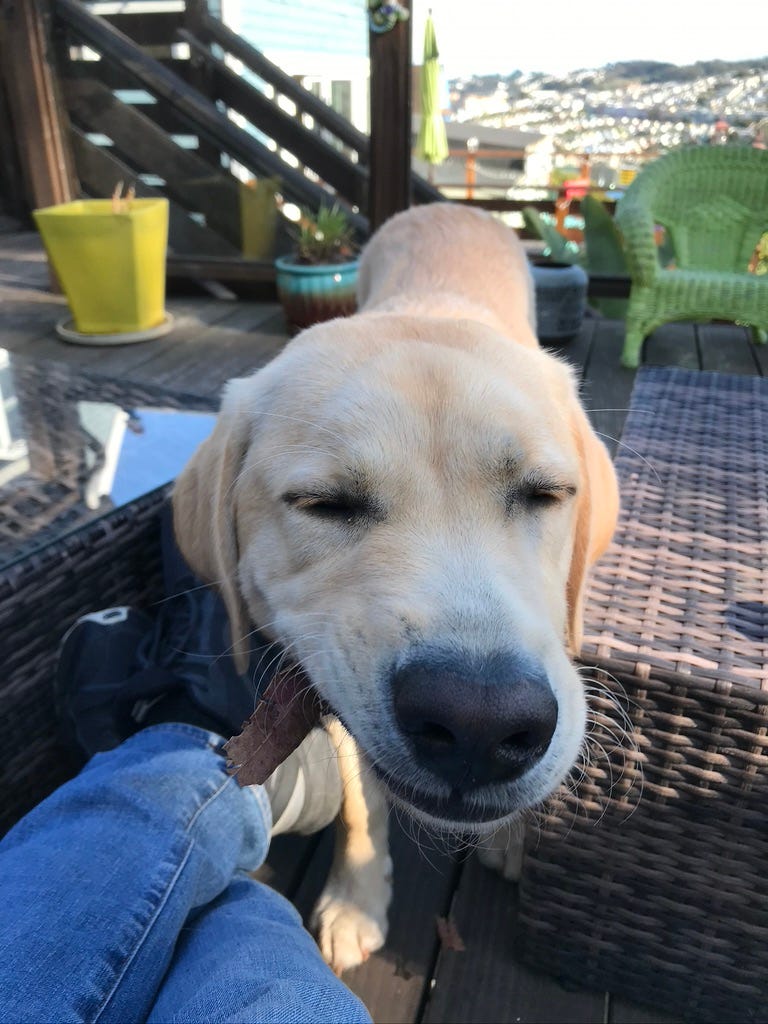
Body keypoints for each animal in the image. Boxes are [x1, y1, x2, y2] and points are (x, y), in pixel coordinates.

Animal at [173, 201, 618, 974]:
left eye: (545, 493)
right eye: (324, 505)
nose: (481, 721)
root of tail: (451, 205)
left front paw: (513, 837)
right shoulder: (325, 682)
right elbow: (360, 800)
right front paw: (357, 897)